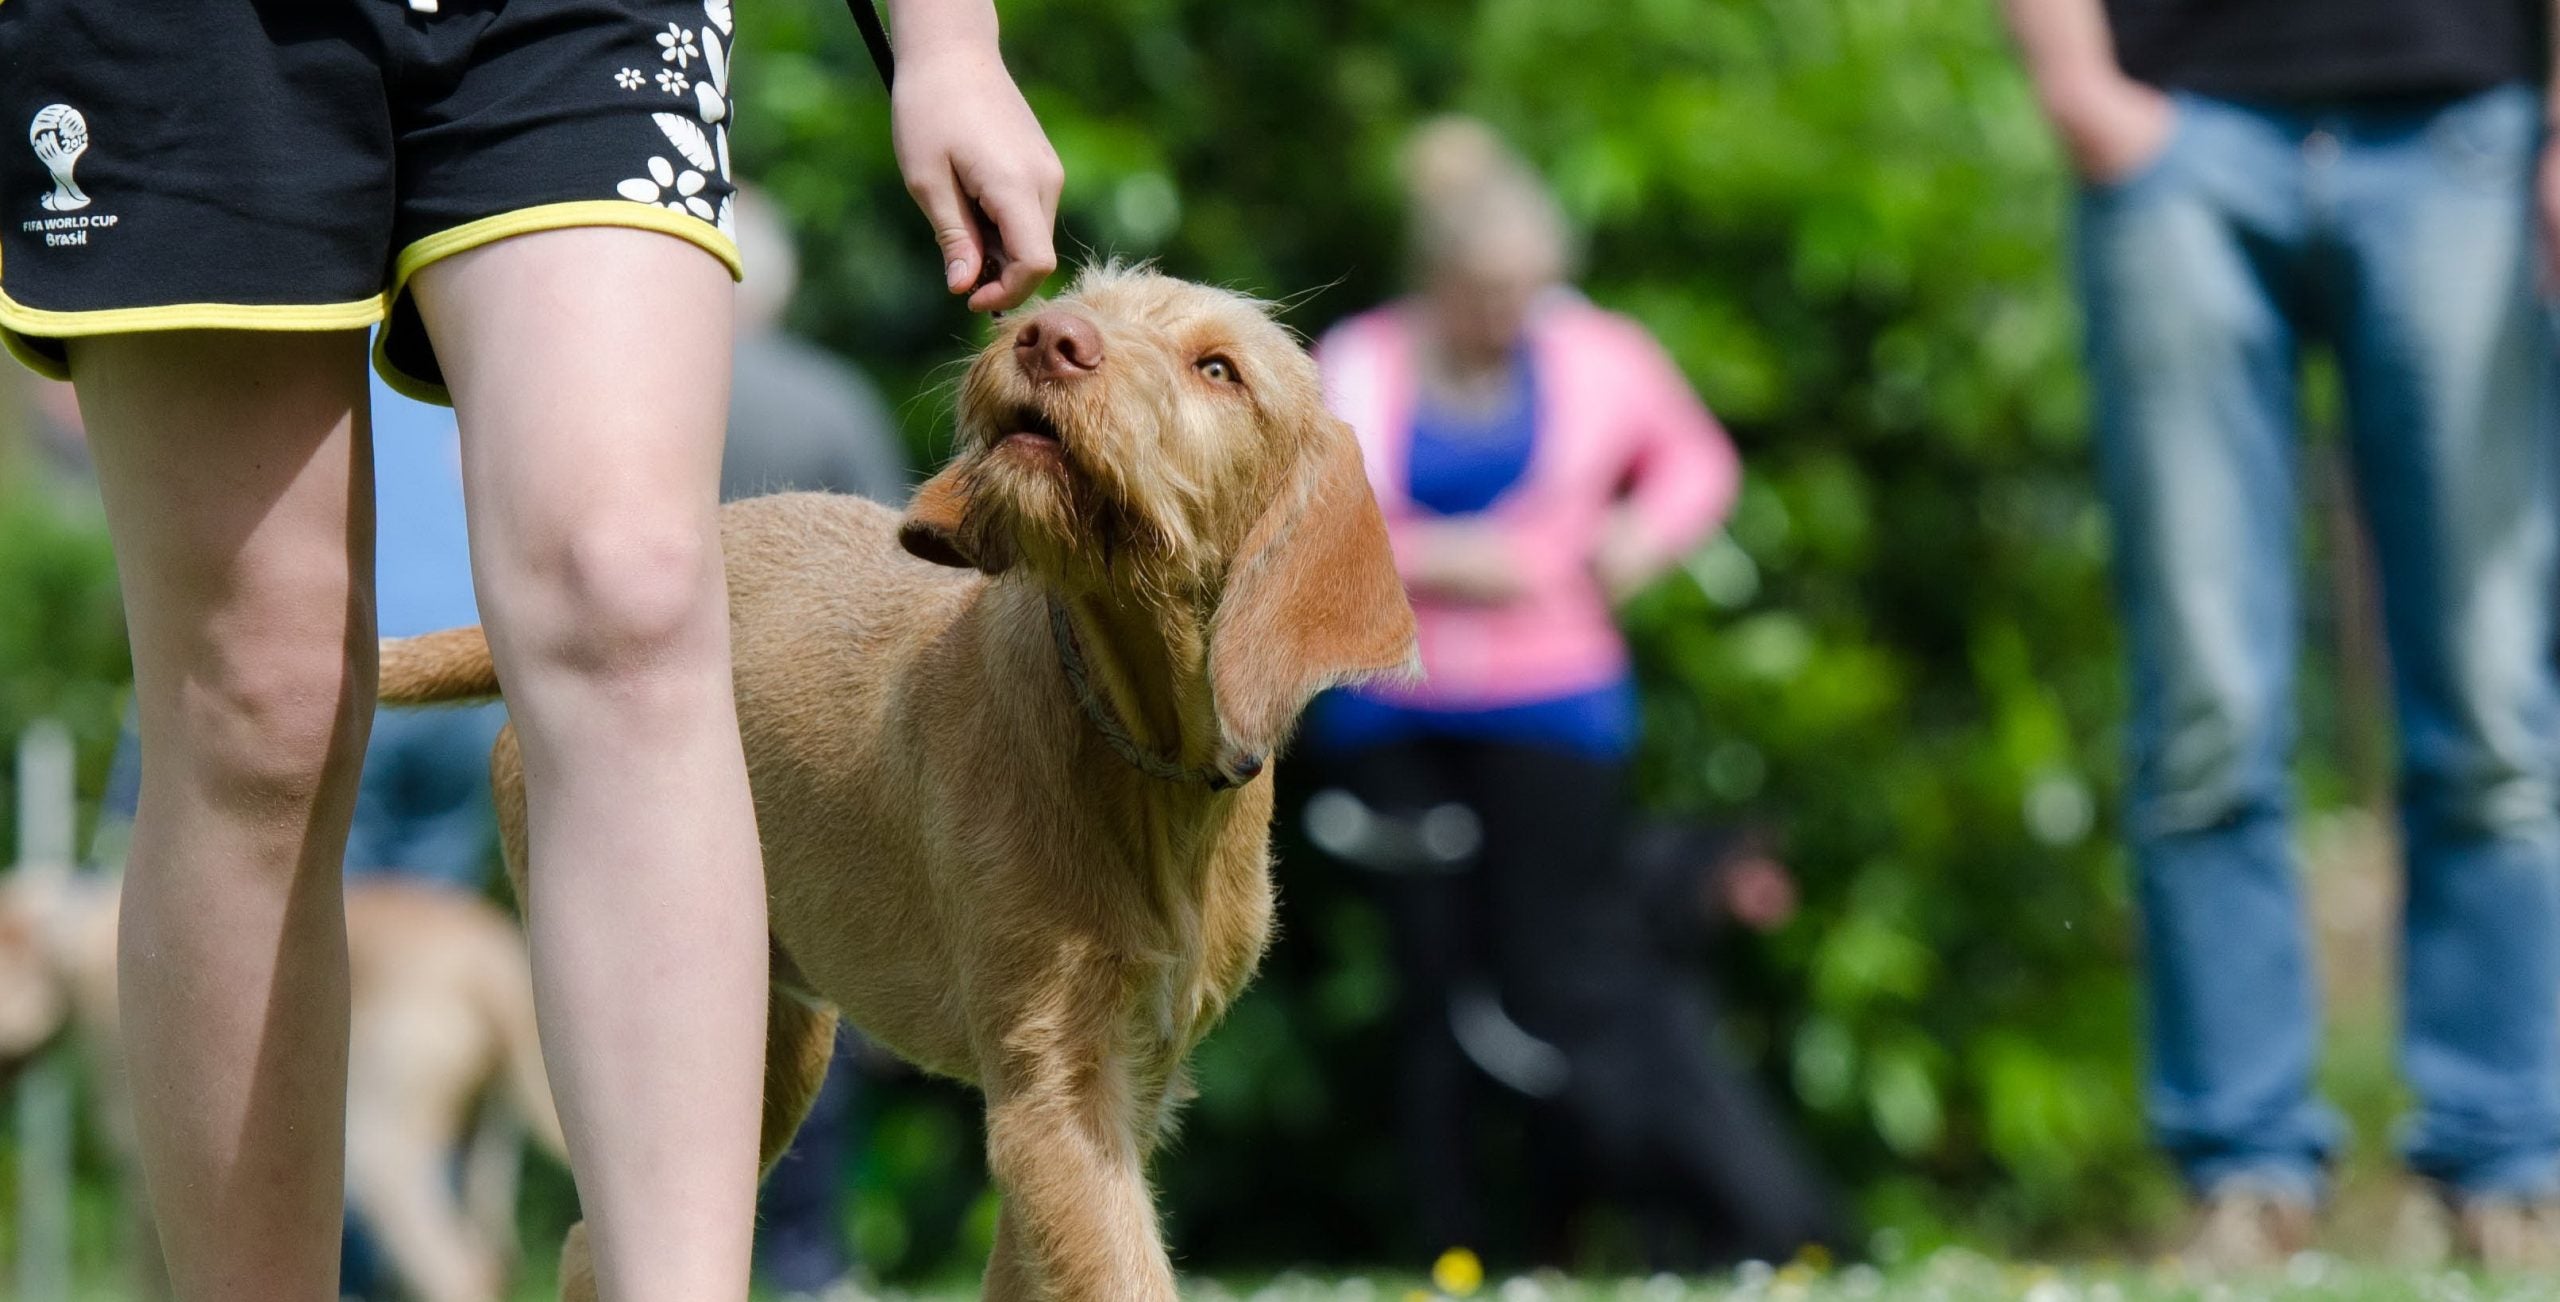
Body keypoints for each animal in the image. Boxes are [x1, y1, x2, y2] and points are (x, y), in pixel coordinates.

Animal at [376, 266, 1423, 1299]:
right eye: (1081, 300)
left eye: (1218, 370)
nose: (1046, 337)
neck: (1137, 750)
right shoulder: (1056, 1091)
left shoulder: (1115, 1083)